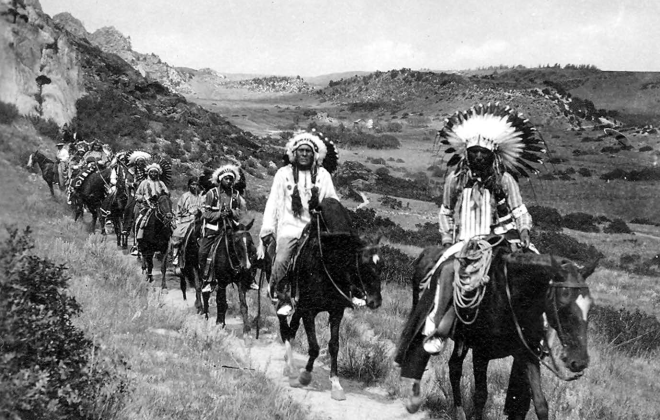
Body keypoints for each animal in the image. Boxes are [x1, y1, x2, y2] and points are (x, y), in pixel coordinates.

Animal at [278, 199, 382, 402]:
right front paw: (304, 376)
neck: (326, 266)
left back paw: (289, 365)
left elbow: (334, 346)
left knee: (292, 328)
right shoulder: (309, 311)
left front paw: (336, 384)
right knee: (286, 328)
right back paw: (292, 369)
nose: (376, 301)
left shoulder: (336, 312)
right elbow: (314, 347)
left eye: (381, 266)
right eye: (364, 266)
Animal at [400, 244, 596, 418]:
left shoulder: (527, 354)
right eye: (563, 304)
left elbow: (540, 404)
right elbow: (480, 396)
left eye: (590, 306)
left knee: (454, 367)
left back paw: (459, 412)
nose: (579, 361)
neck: (507, 298)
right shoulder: (481, 353)